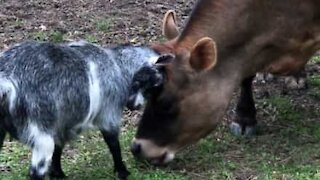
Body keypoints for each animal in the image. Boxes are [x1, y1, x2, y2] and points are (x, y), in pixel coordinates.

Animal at [0, 40, 162, 180]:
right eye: (147, 85)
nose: (136, 106)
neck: (117, 66)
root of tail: (7, 78)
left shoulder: (61, 124)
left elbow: (58, 148)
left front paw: (58, 174)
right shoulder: (109, 114)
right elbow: (113, 144)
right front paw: (122, 172)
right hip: (40, 133)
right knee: (36, 172)